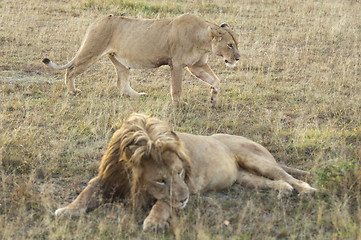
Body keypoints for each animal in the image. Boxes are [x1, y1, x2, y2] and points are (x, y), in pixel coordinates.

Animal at [41, 13, 239, 106]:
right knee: (70, 70)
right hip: (91, 51)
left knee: (122, 84)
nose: (237, 58)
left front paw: (213, 98)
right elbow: (177, 87)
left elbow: (216, 80)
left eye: (236, 44)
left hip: (120, 62)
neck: (203, 40)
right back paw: (72, 92)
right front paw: (179, 105)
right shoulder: (177, 64)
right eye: (230, 45)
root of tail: (97, 21)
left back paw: (138, 95)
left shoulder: (197, 65)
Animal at [54, 112, 316, 231]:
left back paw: (306, 191)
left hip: (255, 158)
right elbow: (86, 192)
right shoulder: (107, 179)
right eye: (160, 180)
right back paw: (284, 192)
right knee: (274, 182)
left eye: (180, 173)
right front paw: (68, 210)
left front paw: (154, 222)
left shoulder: (187, 183)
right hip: (244, 178)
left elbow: (163, 203)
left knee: (287, 176)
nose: (185, 199)